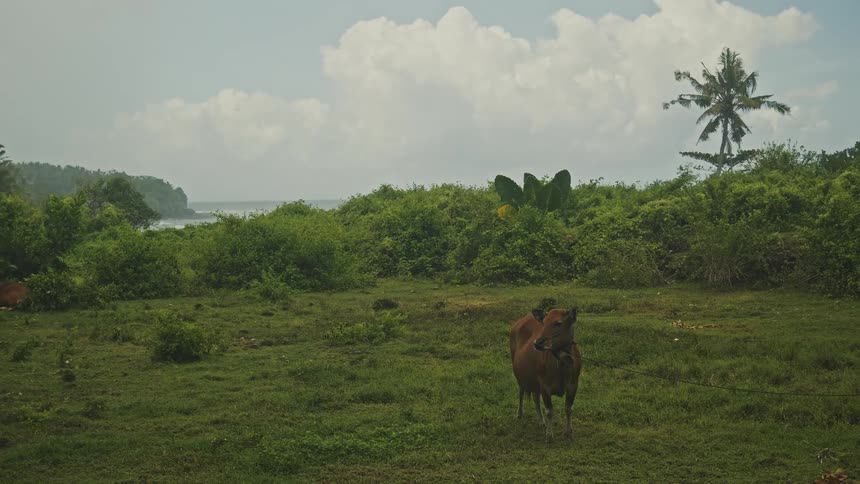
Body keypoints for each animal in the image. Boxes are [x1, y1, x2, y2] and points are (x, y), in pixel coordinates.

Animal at [510, 307, 582, 442]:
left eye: (558, 323)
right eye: (544, 322)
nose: (538, 343)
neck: (561, 366)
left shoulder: (573, 384)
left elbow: (568, 408)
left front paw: (569, 431)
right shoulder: (544, 385)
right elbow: (549, 411)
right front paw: (549, 435)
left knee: (535, 398)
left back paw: (541, 421)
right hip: (520, 376)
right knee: (521, 392)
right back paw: (519, 413)